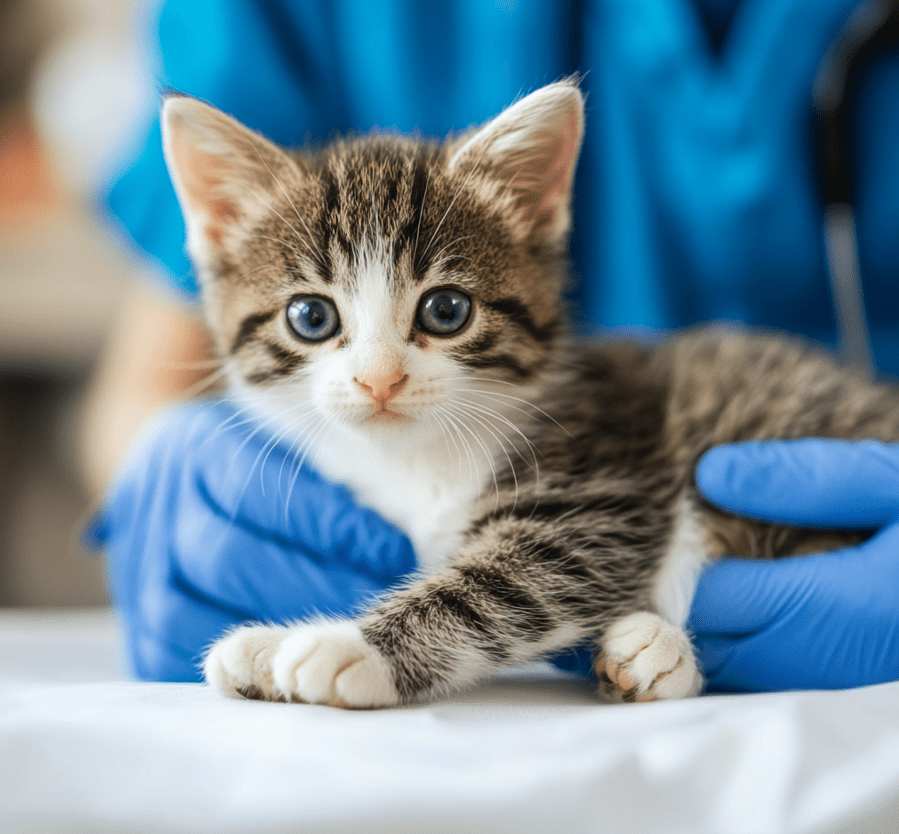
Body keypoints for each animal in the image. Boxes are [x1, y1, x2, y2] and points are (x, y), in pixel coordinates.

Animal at [160, 81, 899, 704]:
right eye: (311, 317)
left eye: (446, 311)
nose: (380, 379)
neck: (413, 460)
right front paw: (266, 648)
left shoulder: (598, 492)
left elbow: (501, 585)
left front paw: (347, 647)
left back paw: (657, 649)